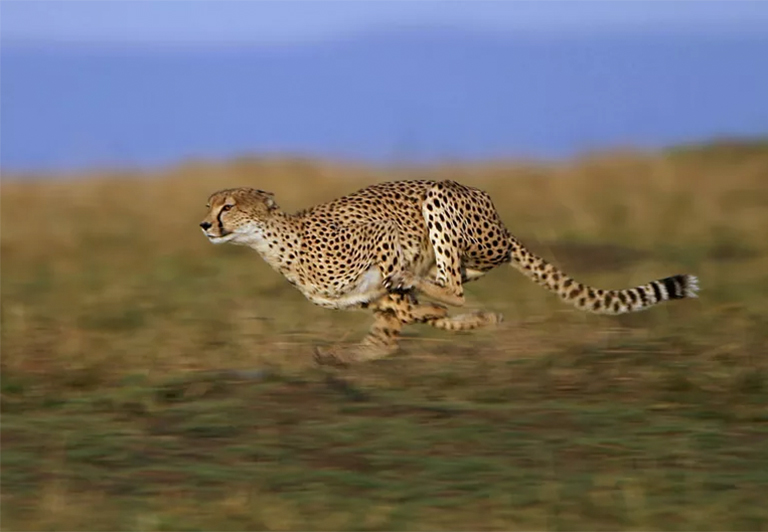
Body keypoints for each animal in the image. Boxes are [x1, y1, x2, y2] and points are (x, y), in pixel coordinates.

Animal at [201, 179, 700, 366]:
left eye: (229, 206)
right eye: (209, 204)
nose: (205, 225)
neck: (278, 245)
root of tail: (502, 223)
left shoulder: (384, 239)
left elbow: (403, 307)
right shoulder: (367, 297)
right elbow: (391, 328)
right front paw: (347, 354)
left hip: (440, 199)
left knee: (451, 287)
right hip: (467, 256)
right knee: (444, 290)